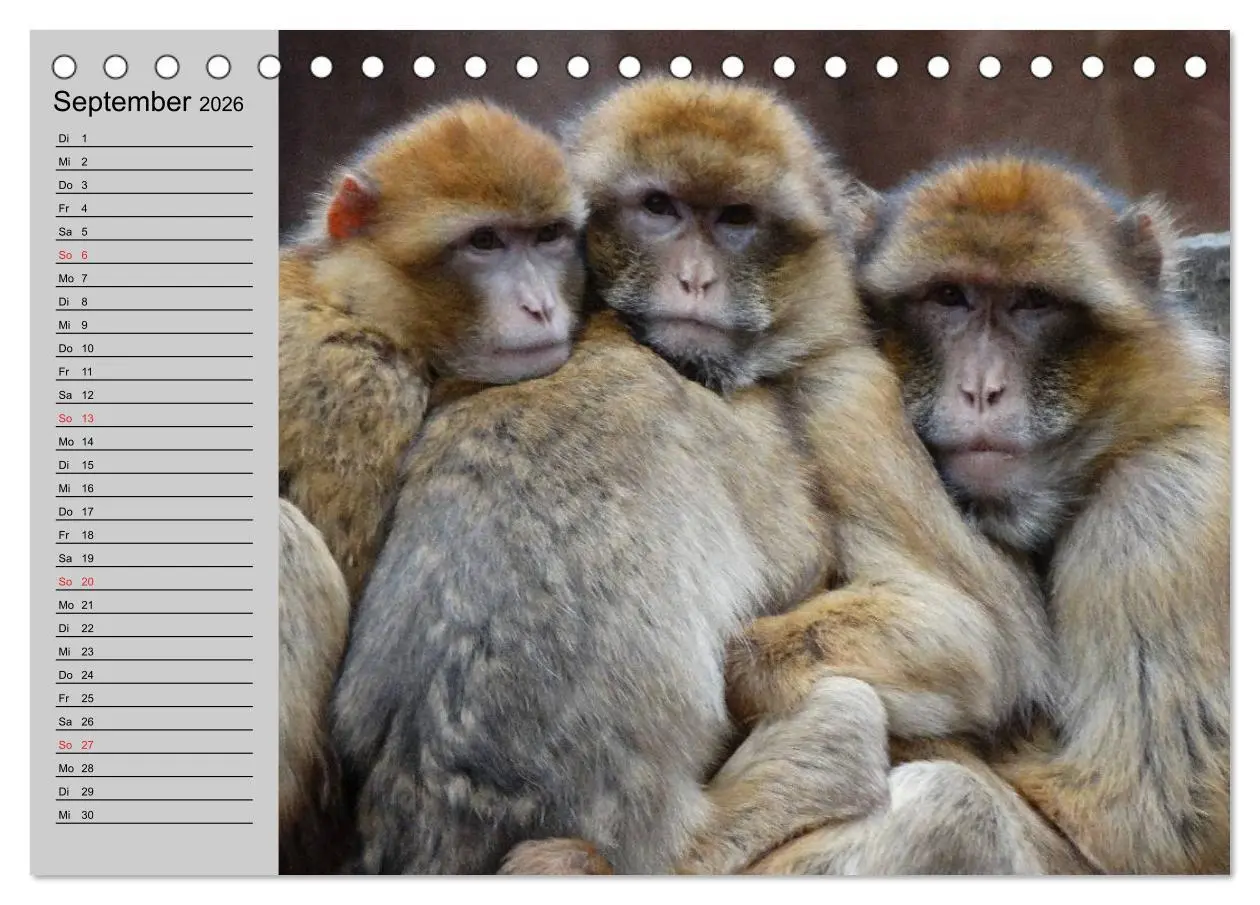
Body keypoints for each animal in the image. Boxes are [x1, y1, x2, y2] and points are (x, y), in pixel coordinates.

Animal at [732, 155, 1229, 875]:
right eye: (950, 297)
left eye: (1033, 303)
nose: (981, 388)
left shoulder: (1167, 507)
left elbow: (1131, 830)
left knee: (959, 804)